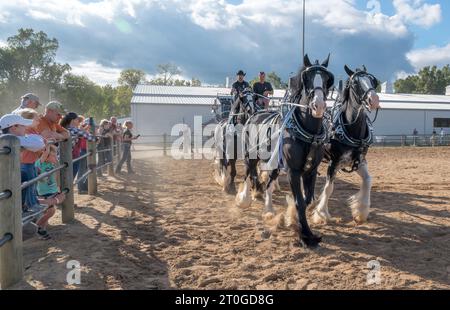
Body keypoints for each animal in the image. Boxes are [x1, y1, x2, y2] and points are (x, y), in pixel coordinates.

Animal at [236, 53, 334, 247]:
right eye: (307, 78)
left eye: (327, 79)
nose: (318, 106)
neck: (309, 134)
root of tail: (254, 114)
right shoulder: (293, 171)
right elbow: (299, 202)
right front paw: (306, 235)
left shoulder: (310, 171)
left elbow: (308, 200)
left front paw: (293, 220)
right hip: (251, 156)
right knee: (249, 174)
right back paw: (244, 198)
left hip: (274, 162)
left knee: (268, 183)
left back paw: (268, 210)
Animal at [312, 65, 380, 225]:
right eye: (355, 83)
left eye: (373, 81)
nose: (374, 100)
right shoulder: (334, 162)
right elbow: (329, 188)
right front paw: (321, 214)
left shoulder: (359, 161)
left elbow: (368, 181)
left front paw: (361, 212)